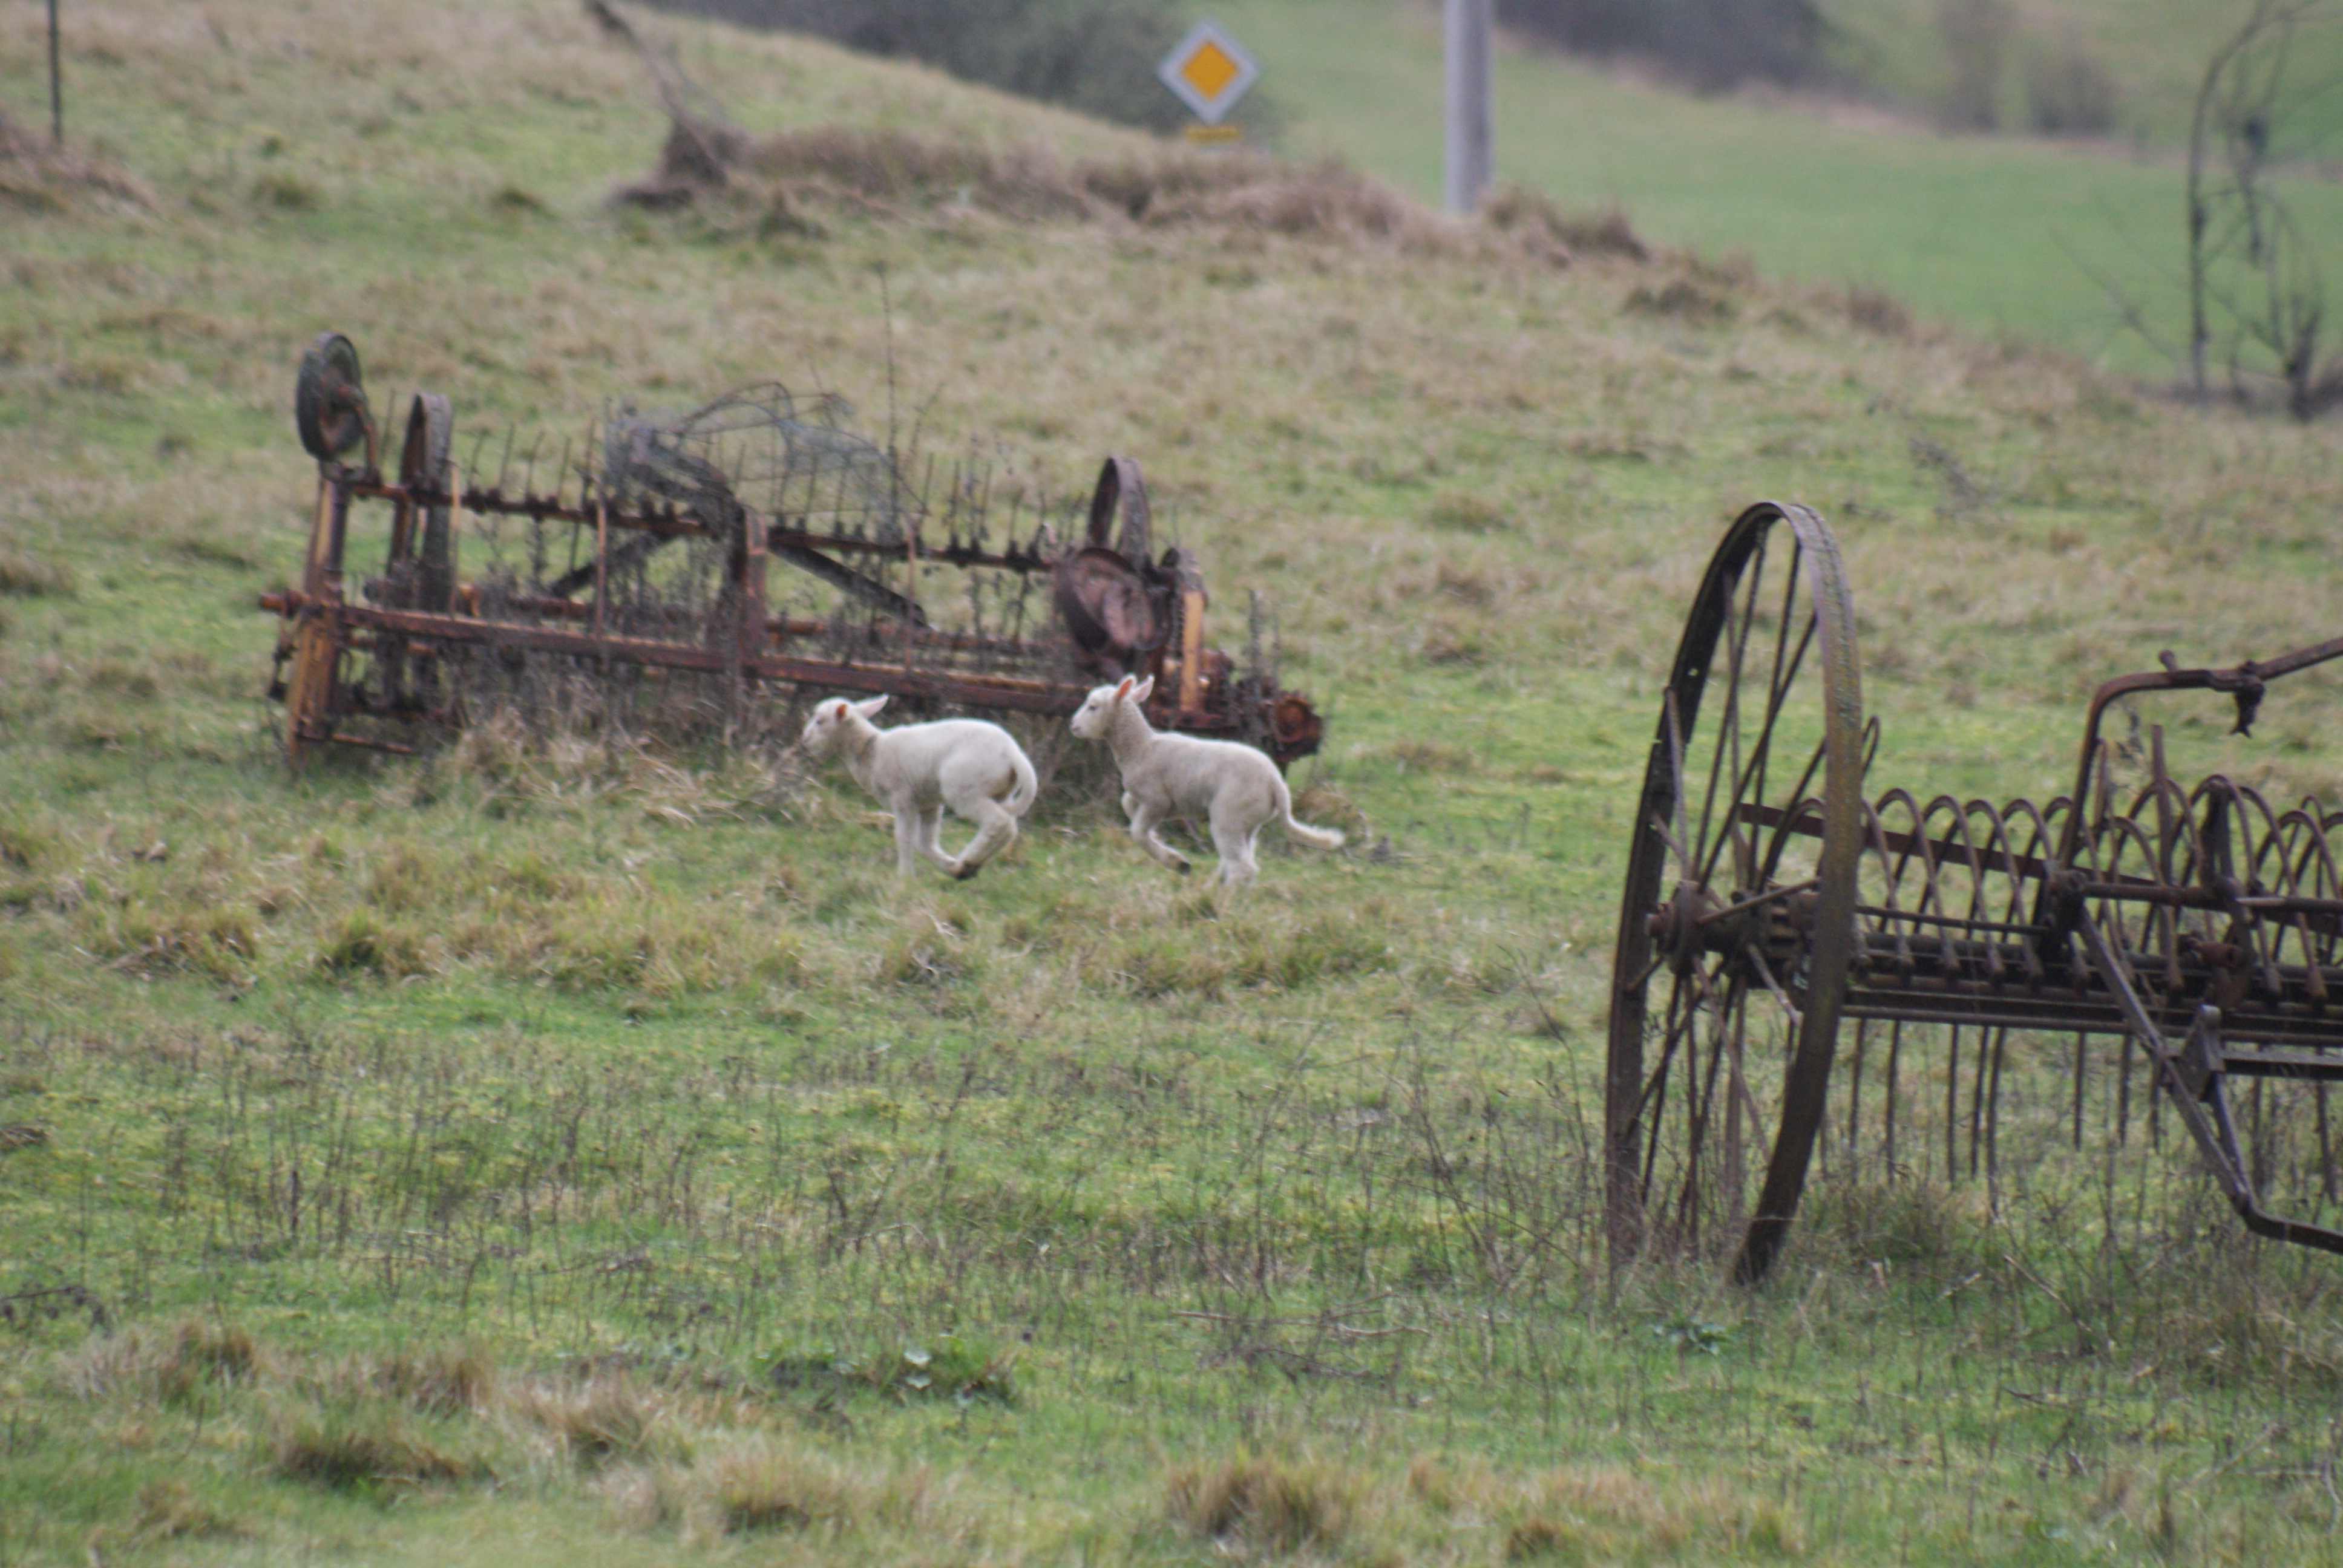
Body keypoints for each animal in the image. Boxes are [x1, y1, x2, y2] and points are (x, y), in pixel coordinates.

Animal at [796, 698, 1035, 881]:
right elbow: (925, 843)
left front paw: (905, 876)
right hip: (999, 792)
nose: (804, 739)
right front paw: (947, 865)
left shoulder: (902, 796)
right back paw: (969, 867)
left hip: (963, 788)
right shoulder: (929, 802)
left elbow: (904, 837)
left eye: (820, 721)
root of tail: (1011, 752)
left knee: (998, 822)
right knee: (1009, 827)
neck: (870, 751)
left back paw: (969, 860)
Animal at [1073, 675, 1349, 886]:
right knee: (1239, 861)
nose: (1073, 726)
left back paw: (1218, 902)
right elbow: (1127, 804)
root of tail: (1277, 784)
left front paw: (1177, 862)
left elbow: (1138, 832)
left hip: (1231, 812)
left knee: (1242, 867)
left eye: (1093, 707)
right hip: (1250, 821)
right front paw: (1169, 851)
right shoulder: (1165, 802)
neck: (1140, 747)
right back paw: (1214, 889)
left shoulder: (1157, 799)